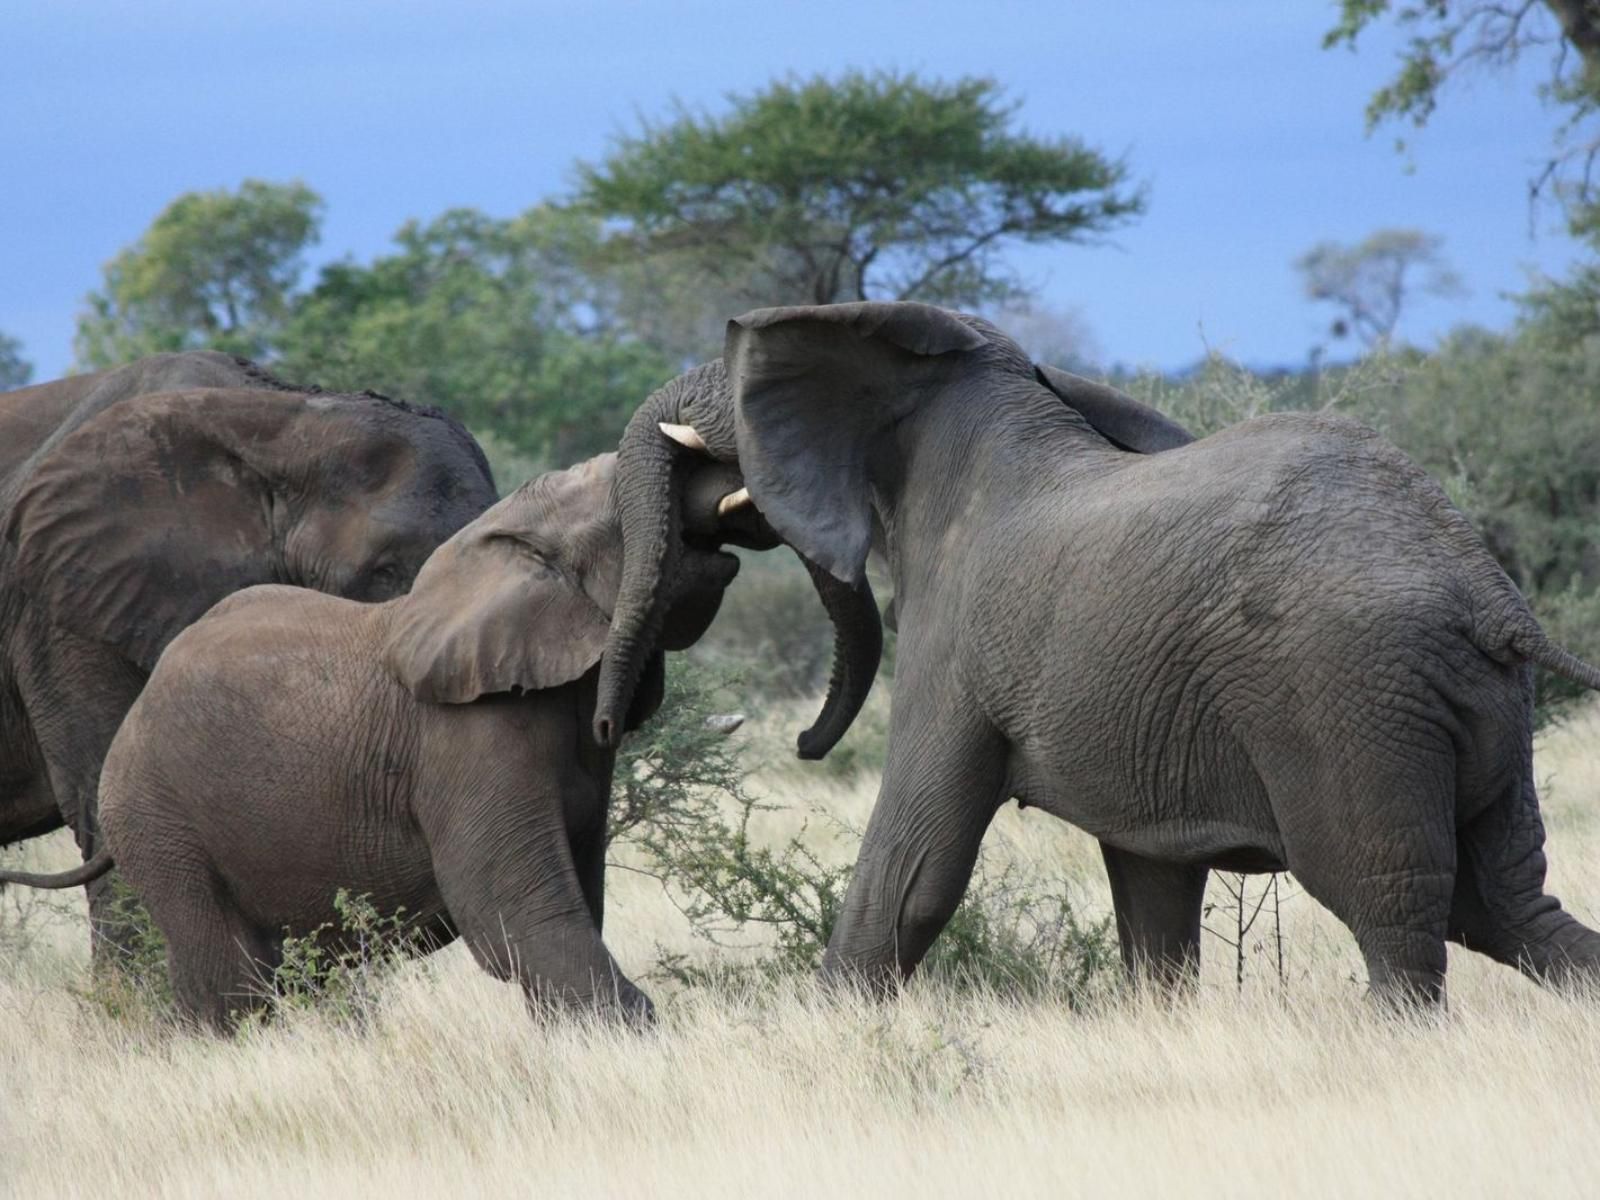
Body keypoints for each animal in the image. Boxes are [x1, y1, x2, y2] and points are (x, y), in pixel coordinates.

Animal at [0, 454, 761, 1036]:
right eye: (627, 505)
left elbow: (575, 902)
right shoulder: (468, 738)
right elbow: (511, 912)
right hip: (158, 818)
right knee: (230, 978)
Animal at [595, 299, 1600, 1004]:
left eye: (737, 388)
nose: (610, 727)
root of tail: (1489, 593)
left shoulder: (955, 647)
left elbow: (914, 866)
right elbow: (1151, 891)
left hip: (1350, 700)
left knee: (1391, 906)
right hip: (1470, 704)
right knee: (1506, 906)